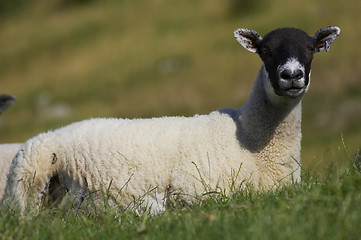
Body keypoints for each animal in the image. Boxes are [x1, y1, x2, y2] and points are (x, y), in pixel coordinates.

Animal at [3, 25, 340, 214]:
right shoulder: (196, 191)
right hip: (29, 185)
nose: (292, 75)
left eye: (310, 48)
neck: (251, 140)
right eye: (265, 49)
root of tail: (41, 136)